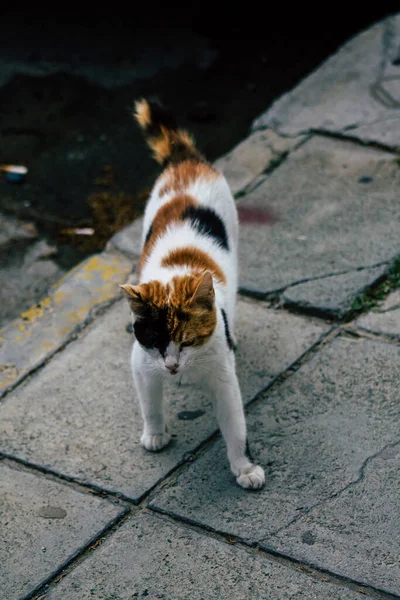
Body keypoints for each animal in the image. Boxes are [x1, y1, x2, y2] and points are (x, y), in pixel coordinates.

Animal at [121, 98, 266, 490]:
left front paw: (245, 468)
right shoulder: (141, 362)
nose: (172, 367)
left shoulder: (223, 375)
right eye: (157, 342)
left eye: (187, 341)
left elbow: (235, 426)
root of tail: (184, 160)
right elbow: (149, 402)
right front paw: (155, 433)